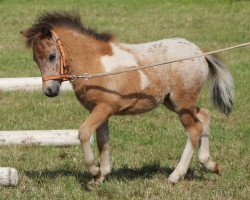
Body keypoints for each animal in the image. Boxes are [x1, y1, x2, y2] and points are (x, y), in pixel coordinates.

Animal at [20, 11, 233, 188]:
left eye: (51, 56)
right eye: (35, 59)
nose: (49, 90)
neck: (94, 64)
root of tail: (199, 52)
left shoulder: (105, 108)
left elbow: (84, 133)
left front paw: (94, 171)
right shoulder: (99, 111)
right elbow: (102, 140)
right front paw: (101, 176)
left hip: (182, 101)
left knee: (194, 130)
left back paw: (174, 176)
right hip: (174, 102)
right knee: (205, 116)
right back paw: (211, 164)